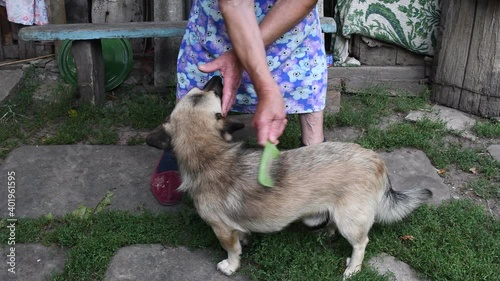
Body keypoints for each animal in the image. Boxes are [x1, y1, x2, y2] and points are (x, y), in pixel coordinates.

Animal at [146, 76, 432, 278]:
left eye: (212, 93)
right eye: (199, 91)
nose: (218, 77)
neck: (208, 154)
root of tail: (376, 160)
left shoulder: (221, 229)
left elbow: (233, 250)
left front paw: (230, 265)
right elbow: (242, 236)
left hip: (351, 221)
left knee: (362, 243)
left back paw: (353, 267)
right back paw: (326, 233)